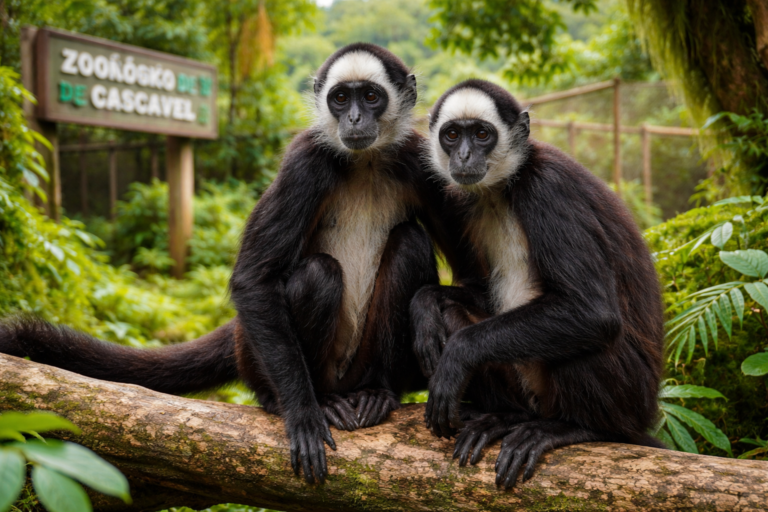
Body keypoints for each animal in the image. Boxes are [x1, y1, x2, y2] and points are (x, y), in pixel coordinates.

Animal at [0, 43, 446, 484]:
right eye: (340, 99)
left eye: (370, 97)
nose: (353, 118)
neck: (364, 160)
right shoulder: (305, 160)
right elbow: (253, 280)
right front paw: (302, 414)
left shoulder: (418, 158)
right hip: (258, 356)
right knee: (320, 274)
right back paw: (306, 399)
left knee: (409, 243)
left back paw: (377, 391)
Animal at [410, 79, 665, 490]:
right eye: (452, 136)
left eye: (481, 135)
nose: (463, 156)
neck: (504, 187)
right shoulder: (461, 201)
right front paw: (423, 304)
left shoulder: (549, 188)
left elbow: (593, 313)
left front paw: (457, 356)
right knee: (450, 312)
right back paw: (509, 417)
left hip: (629, 397)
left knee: (589, 337)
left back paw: (577, 429)